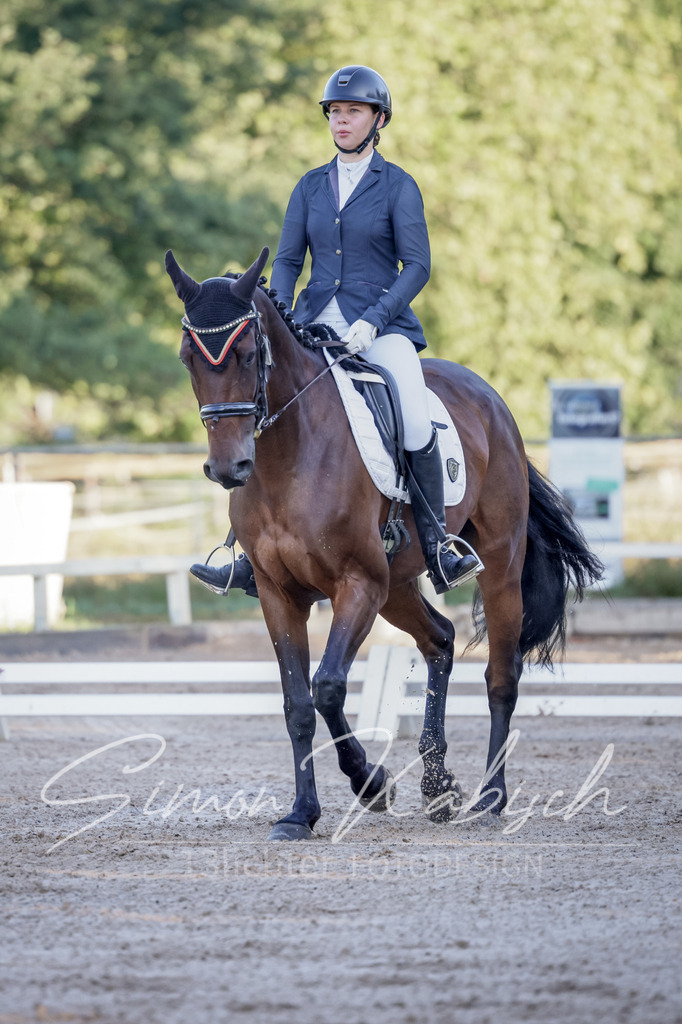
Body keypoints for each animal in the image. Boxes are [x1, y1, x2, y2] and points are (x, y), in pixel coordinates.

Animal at [166, 245, 604, 841]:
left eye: (250, 354)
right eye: (189, 358)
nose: (228, 467)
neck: (288, 457)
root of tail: (491, 399)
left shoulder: (358, 585)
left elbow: (328, 686)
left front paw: (371, 784)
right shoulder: (281, 594)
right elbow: (297, 703)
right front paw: (300, 814)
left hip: (495, 565)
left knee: (501, 675)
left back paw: (489, 796)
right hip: (396, 584)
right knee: (440, 640)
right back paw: (438, 784)